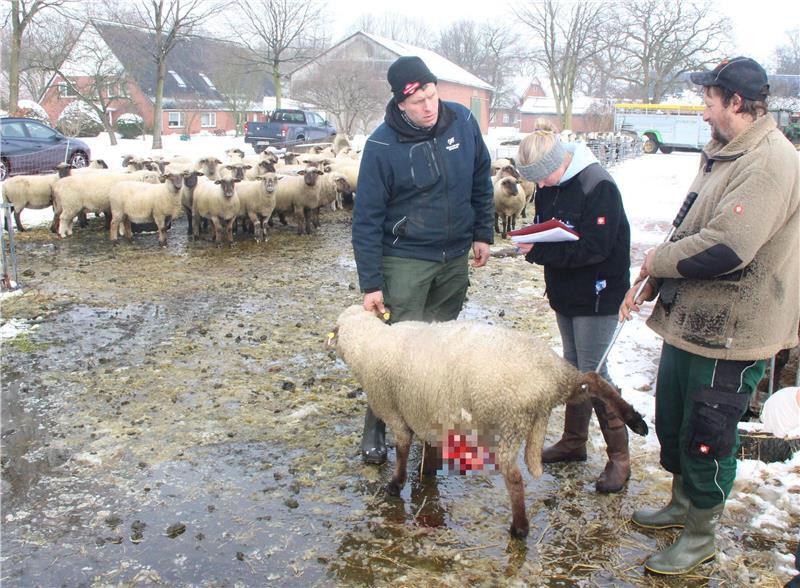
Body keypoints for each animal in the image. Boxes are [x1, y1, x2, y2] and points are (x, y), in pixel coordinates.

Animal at [329, 305, 648, 538]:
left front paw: (395, 485)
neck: (370, 343)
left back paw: (519, 528)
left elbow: (404, 449)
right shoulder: (429, 411)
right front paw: (428, 472)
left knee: (514, 477)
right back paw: (635, 420)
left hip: (509, 422)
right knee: (593, 379)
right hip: (568, 383)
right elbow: (430, 446)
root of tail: (547, 385)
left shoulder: (394, 411)